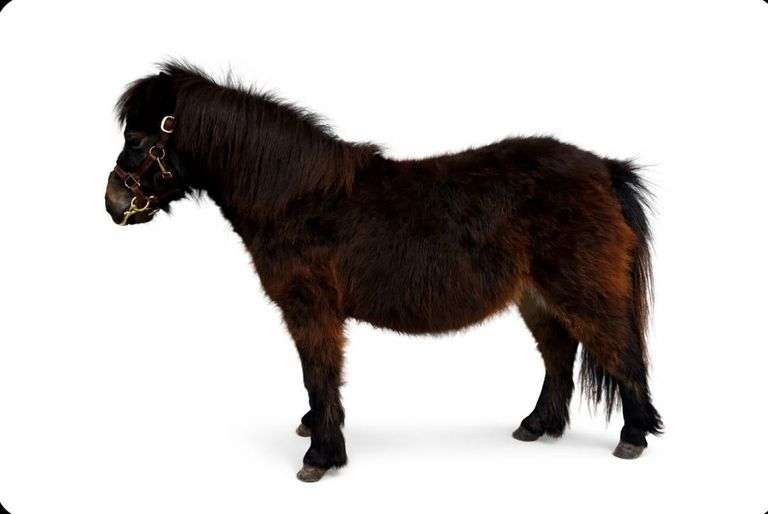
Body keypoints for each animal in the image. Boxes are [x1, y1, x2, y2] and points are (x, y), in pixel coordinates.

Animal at [104, 61, 662, 482]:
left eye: (139, 138)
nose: (113, 203)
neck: (296, 196)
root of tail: (605, 168)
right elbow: (317, 378)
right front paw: (316, 429)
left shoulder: (311, 309)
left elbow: (318, 373)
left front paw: (321, 456)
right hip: (537, 297)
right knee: (559, 356)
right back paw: (537, 424)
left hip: (584, 292)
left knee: (621, 352)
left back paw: (632, 437)